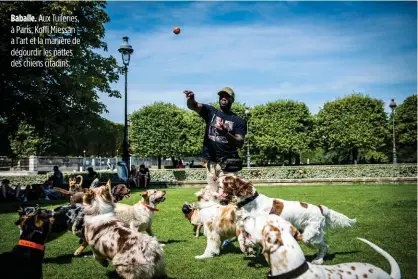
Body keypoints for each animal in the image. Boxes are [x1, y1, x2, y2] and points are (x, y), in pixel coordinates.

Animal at [222, 176, 356, 266]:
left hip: (308, 237)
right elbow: (244, 240)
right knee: (324, 242)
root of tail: (319, 208)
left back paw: (318, 260)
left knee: (325, 245)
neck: (249, 202)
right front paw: (250, 251)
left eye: (227, 181)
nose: (221, 177)